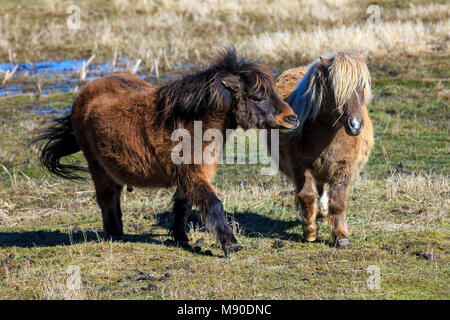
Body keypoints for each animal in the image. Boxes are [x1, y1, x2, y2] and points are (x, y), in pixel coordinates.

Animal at [33, 49, 298, 255]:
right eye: (258, 96)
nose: (292, 118)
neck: (192, 124)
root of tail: (85, 94)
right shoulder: (191, 174)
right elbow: (213, 204)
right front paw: (231, 245)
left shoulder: (191, 176)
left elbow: (182, 206)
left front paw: (181, 239)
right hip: (98, 168)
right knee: (107, 199)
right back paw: (114, 235)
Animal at [270, 52, 372, 248]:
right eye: (335, 89)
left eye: (362, 86)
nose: (355, 125)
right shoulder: (300, 166)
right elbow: (306, 196)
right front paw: (310, 231)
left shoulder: (343, 168)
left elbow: (337, 202)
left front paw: (341, 237)